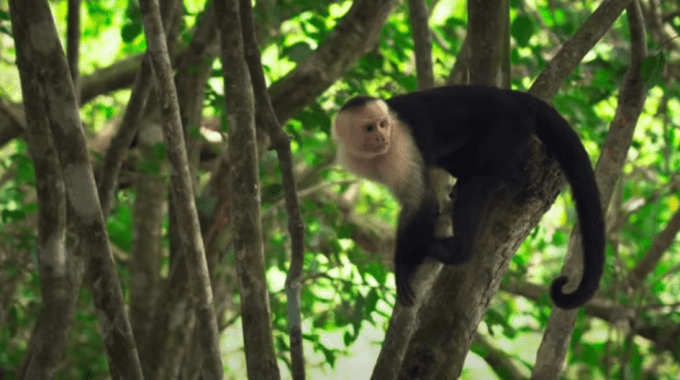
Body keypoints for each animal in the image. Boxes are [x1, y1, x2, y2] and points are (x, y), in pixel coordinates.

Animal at [332, 85, 604, 308]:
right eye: (369, 128)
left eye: (383, 124)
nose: (381, 136)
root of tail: (513, 96)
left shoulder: (399, 146)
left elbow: (420, 202)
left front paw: (404, 265)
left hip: (510, 123)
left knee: (477, 182)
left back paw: (458, 251)